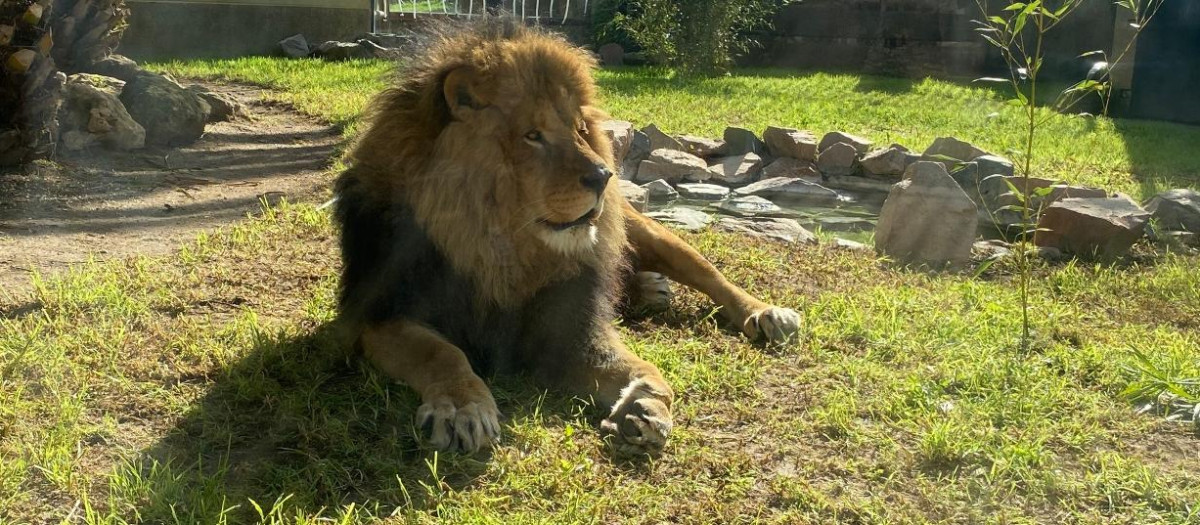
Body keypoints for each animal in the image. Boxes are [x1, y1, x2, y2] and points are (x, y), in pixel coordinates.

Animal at [334, 18, 800, 456]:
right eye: (532, 135)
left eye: (579, 129)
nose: (603, 176)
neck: (502, 250)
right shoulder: (379, 314)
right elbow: (442, 353)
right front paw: (464, 408)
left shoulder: (570, 327)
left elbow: (641, 367)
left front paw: (646, 402)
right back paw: (648, 288)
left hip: (644, 230)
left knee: (707, 272)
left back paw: (764, 313)